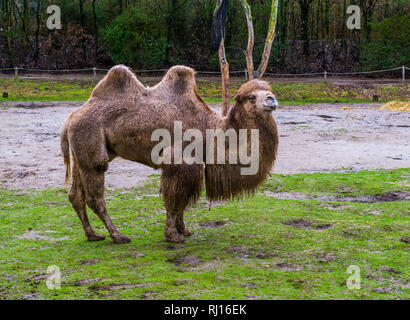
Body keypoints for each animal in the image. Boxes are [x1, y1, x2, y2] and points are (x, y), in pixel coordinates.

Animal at [60, 65, 278, 245]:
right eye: (251, 97)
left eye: (269, 91)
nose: (272, 99)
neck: (209, 128)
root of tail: (70, 118)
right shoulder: (180, 162)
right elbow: (174, 199)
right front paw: (173, 235)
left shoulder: (191, 167)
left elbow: (182, 199)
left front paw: (184, 230)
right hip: (91, 148)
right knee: (95, 196)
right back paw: (118, 236)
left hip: (82, 154)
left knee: (75, 195)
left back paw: (93, 234)